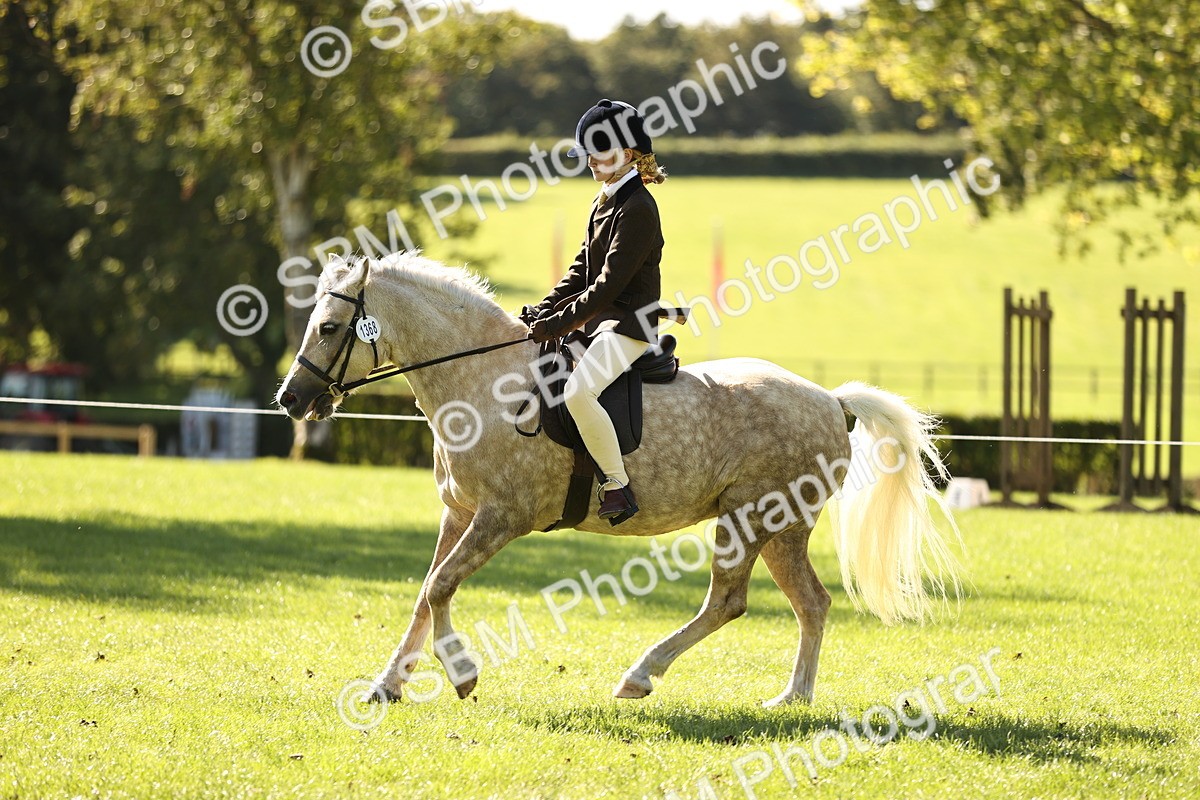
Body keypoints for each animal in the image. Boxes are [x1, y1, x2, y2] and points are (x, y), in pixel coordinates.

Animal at [277, 252, 961, 707]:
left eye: (330, 328)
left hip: (752, 518)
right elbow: (426, 593)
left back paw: (641, 676)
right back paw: (792, 697)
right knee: (810, 603)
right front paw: (386, 686)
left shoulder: (501, 517)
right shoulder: (459, 512)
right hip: (779, 528)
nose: (291, 400)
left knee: (730, 601)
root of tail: (831, 400)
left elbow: (441, 585)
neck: (483, 383)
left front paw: (463, 674)